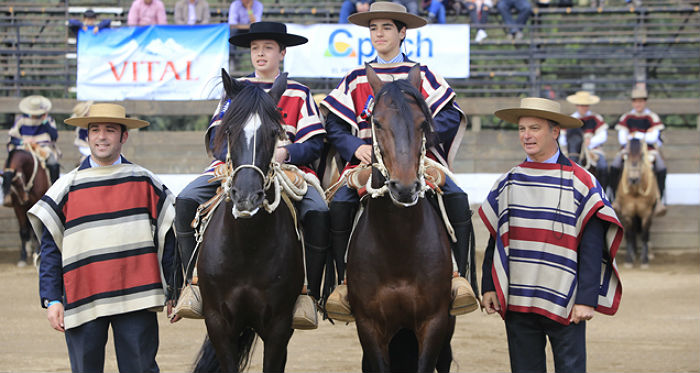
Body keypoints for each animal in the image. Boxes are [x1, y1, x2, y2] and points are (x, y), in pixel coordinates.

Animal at [191, 70, 304, 372]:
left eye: (273, 133)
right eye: (229, 130)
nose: (246, 197)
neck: (247, 248)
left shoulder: (279, 326)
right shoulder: (218, 324)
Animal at [348, 64, 456, 372]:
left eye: (422, 124)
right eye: (377, 122)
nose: (404, 187)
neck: (398, 244)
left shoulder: (434, 322)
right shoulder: (369, 326)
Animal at [616, 138, 660, 266]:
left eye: (642, 155)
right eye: (627, 154)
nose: (633, 179)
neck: (635, 192)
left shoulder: (647, 213)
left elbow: (645, 234)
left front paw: (645, 260)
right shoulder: (627, 212)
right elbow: (630, 233)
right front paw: (629, 259)